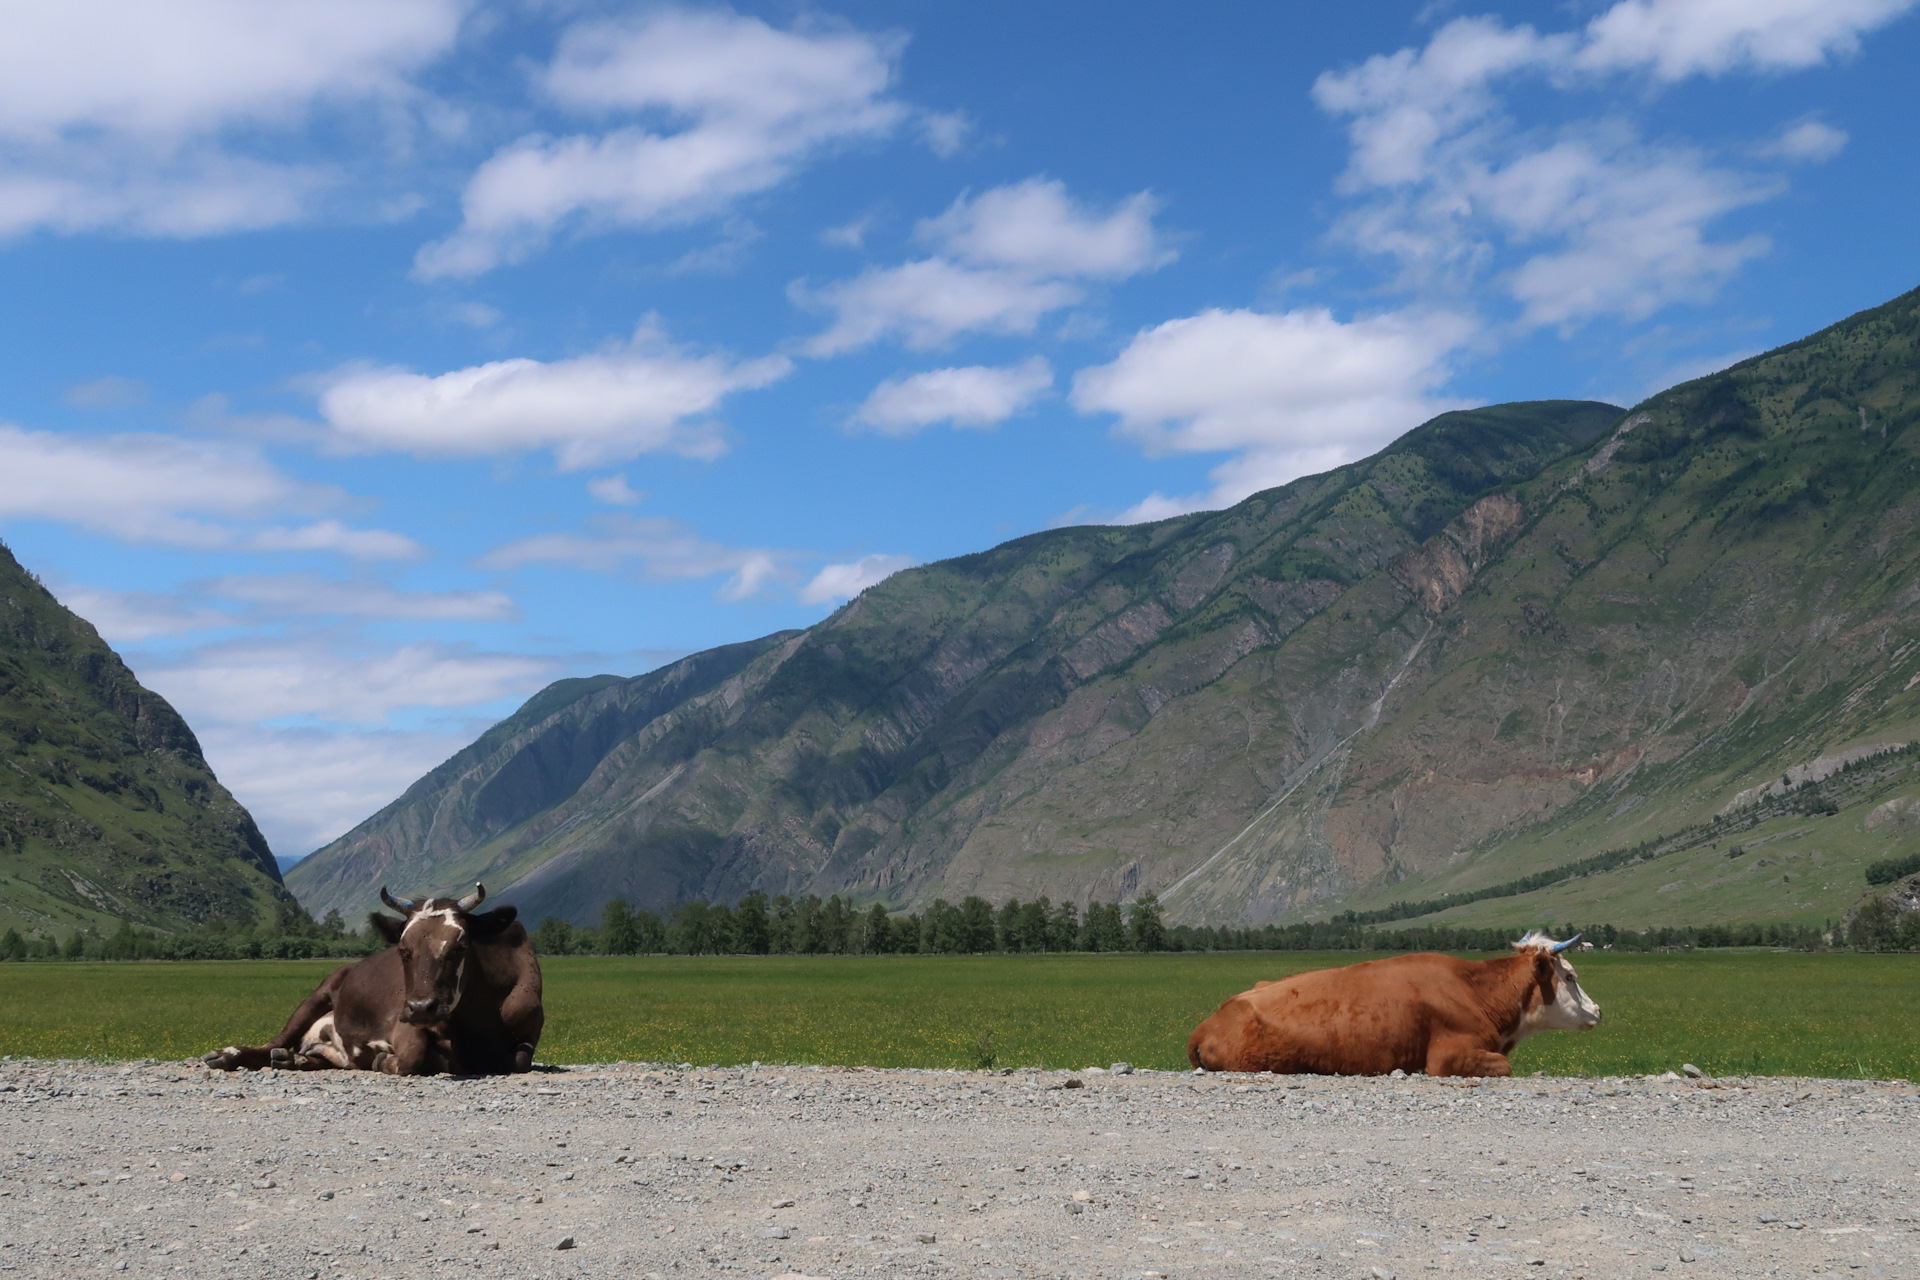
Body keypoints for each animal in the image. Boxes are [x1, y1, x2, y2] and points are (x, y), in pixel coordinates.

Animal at [200, 886, 541, 1074]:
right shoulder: (404, 1025)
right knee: (274, 1042)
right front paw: (382, 1060)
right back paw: (228, 1055)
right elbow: (413, 1057)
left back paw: (294, 1060)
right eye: (402, 950)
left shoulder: (529, 1030)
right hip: (317, 994)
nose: (421, 1007)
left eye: (459, 946)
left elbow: (520, 1059)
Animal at [1182, 932, 1605, 1082]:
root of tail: (1210, 1021)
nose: (1598, 1010)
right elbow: (1504, 1065)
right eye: (1570, 976)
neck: (1475, 990)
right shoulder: (1447, 1056)